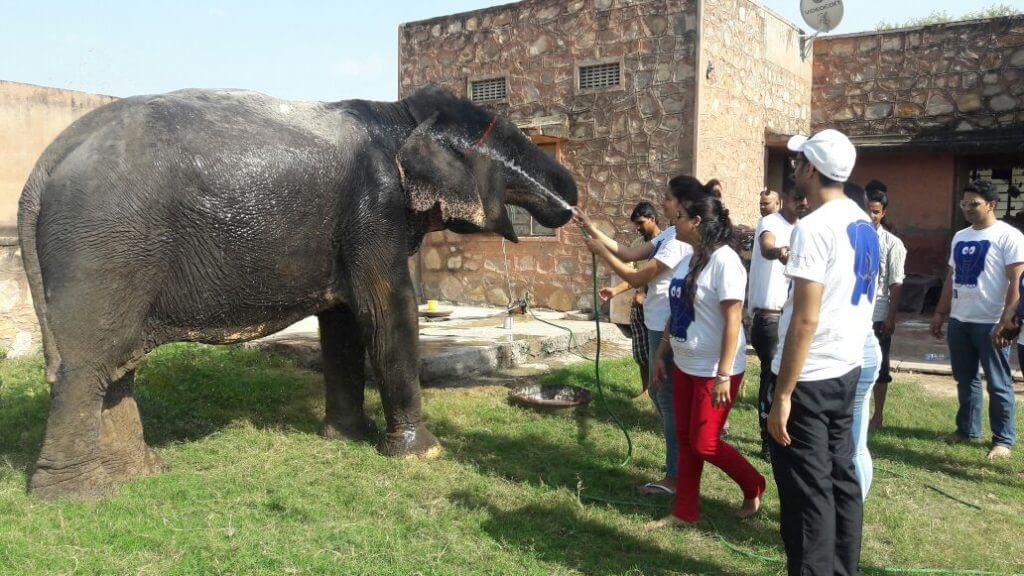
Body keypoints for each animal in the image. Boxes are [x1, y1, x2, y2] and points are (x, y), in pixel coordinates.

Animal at [18, 84, 577, 498]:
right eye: (510, 138)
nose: (569, 197)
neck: (397, 117)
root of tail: (46, 163)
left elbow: (344, 320)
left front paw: (348, 438)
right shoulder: (375, 208)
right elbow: (386, 310)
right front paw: (420, 453)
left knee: (116, 363)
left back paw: (141, 472)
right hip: (103, 245)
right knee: (87, 364)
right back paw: (81, 495)